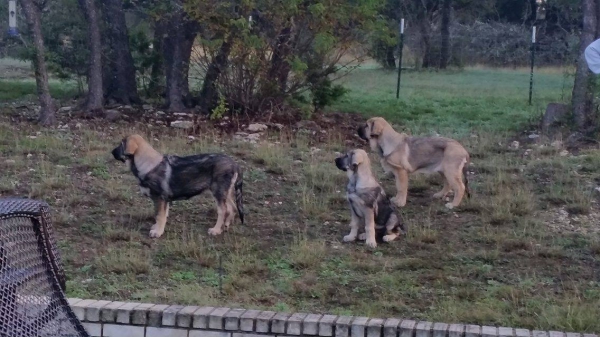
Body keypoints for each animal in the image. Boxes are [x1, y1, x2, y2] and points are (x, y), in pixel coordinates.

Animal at [111, 133, 245, 238]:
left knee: (223, 210)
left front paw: (157, 232)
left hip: (218, 191)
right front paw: (156, 227)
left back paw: (216, 230)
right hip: (226, 192)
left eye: (121, 144)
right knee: (232, 207)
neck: (147, 164)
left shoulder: (160, 198)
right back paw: (225, 225)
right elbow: (161, 215)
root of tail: (235, 164)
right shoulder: (163, 200)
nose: (112, 152)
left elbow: (159, 215)